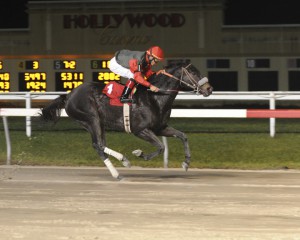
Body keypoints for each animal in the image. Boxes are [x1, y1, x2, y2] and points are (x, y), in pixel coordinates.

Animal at [40, 62, 213, 179]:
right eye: (193, 72)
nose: (209, 89)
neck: (154, 97)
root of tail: (69, 95)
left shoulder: (160, 128)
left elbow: (183, 136)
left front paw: (186, 163)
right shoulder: (140, 130)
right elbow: (160, 146)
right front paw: (140, 154)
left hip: (97, 123)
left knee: (100, 146)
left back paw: (119, 169)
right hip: (91, 118)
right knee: (98, 145)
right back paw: (122, 164)